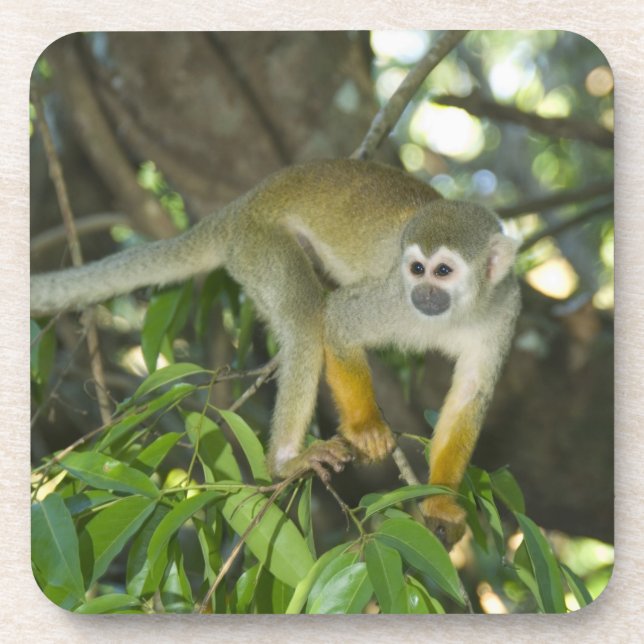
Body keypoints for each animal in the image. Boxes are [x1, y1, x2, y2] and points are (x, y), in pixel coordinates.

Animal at [31, 159, 520, 548]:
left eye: (443, 271)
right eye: (417, 269)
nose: (423, 294)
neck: (456, 311)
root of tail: (239, 208)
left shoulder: (504, 309)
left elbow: (471, 396)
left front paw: (439, 501)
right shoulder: (393, 298)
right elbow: (338, 322)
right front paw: (365, 429)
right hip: (259, 245)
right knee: (306, 317)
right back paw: (285, 461)